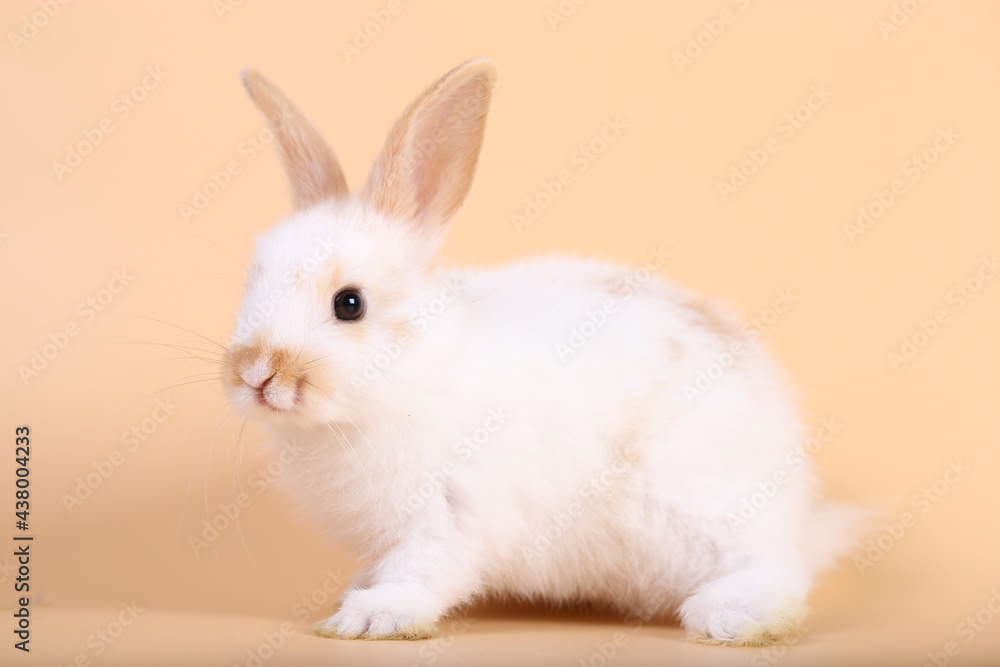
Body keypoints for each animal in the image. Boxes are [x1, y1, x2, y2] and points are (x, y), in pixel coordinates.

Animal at [222, 59, 860, 646]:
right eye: (252, 279)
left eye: (349, 304)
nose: (256, 373)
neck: (408, 374)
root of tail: (799, 507)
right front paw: (353, 596)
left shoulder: (447, 516)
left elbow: (421, 573)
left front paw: (370, 618)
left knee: (775, 569)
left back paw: (733, 618)